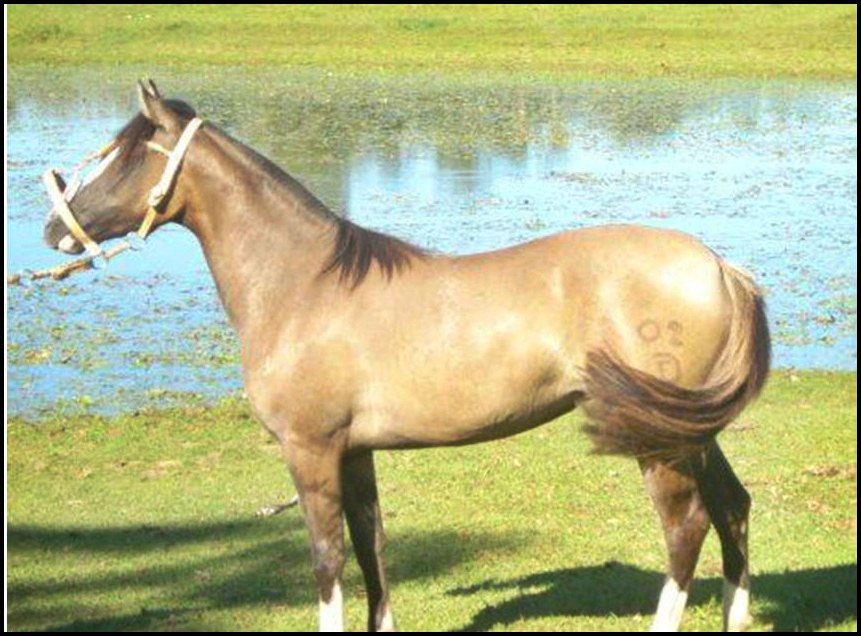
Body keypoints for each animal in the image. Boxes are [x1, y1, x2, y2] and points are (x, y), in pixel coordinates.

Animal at [40, 82, 768, 632]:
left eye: (126, 156)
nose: (53, 229)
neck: (304, 285)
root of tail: (719, 267)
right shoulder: (354, 452)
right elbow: (372, 551)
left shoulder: (310, 450)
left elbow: (327, 559)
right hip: (692, 431)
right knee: (731, 508)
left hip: (660, 443)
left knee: (685, 528)